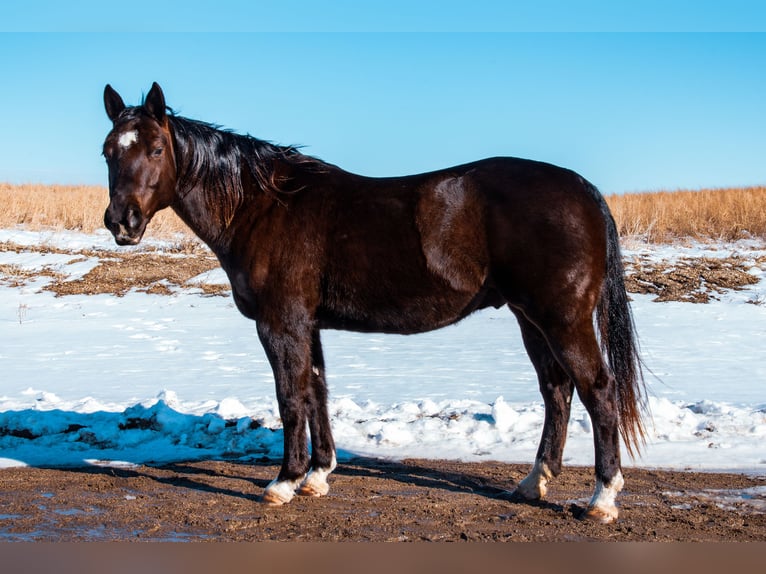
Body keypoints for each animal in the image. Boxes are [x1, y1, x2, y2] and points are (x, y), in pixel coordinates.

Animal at [102, 82, 645, 524]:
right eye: (108, 151)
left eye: (155, 147)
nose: (121, 222)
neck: (264, 207)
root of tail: (584, 190)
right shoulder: (309, 324)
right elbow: (316, 392)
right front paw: (317, 475)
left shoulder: (281, 323)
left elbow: (290, 397)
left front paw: (283, 482)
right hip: (530, 317)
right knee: (557, 390)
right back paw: (534, 483)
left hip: (563, 319)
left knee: (598, 391)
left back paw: (601, 498)